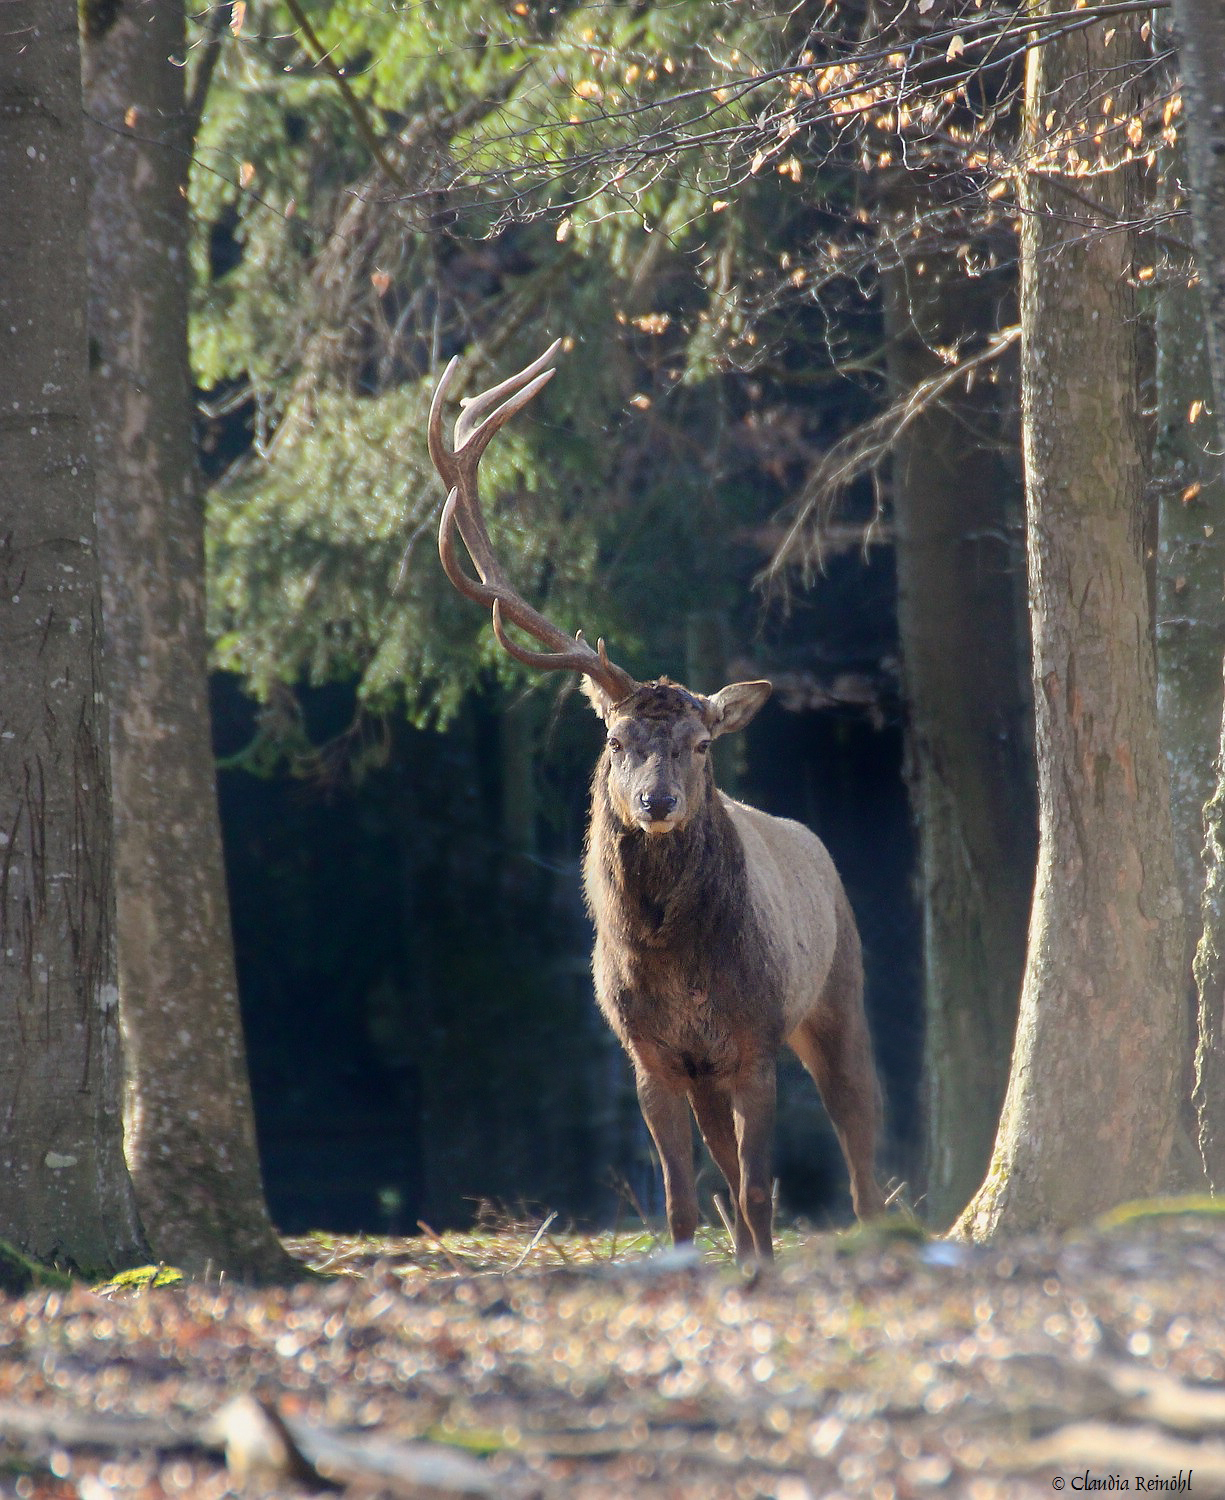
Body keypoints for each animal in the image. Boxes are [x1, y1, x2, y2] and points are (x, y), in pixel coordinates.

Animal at [429, 341, 887, 1262]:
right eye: (614, 740)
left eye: (701, 745)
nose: (657, 799)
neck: (677, 973)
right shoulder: (649, 1055)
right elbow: (683, 1198)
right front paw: (698, 1265)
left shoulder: (752, 1042)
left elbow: (758, 1190)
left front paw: (760, 1270)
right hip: (709, 1068)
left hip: (836, 990)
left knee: (858, 1134)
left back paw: (874, 1227)